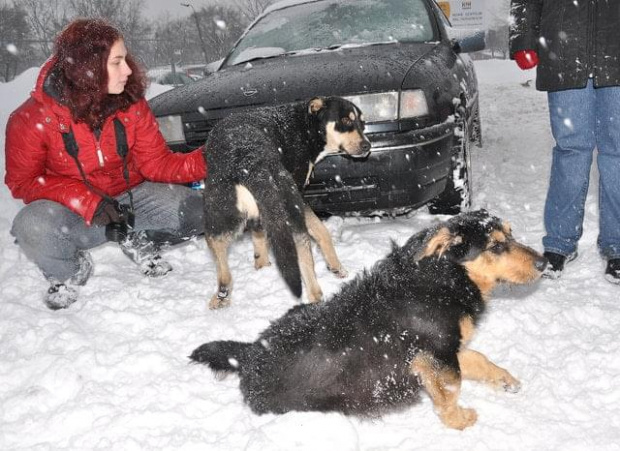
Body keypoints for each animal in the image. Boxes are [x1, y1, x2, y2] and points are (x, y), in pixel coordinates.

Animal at [189, 212, 548, 430]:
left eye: (511, 234)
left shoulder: (446, 349)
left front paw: (505, 380)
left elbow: (479, 359)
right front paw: (457, 419)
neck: (442, 278)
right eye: (496, 246)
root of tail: (250, 354)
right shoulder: (434, 356)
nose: (545, 263)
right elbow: (452, 386)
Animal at [202, 98, 368, 310]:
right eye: (346, 120)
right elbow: (322, 232)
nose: (367, 146)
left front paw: (262, 266)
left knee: (218, 252)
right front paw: (336, 267)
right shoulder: (300, 195)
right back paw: (315, 297)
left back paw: (222, 294)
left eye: (362, 123)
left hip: (220, 213)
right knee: (304, 257)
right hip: (290, 206)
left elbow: (259, 236)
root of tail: (248, 159)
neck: (304, 126)